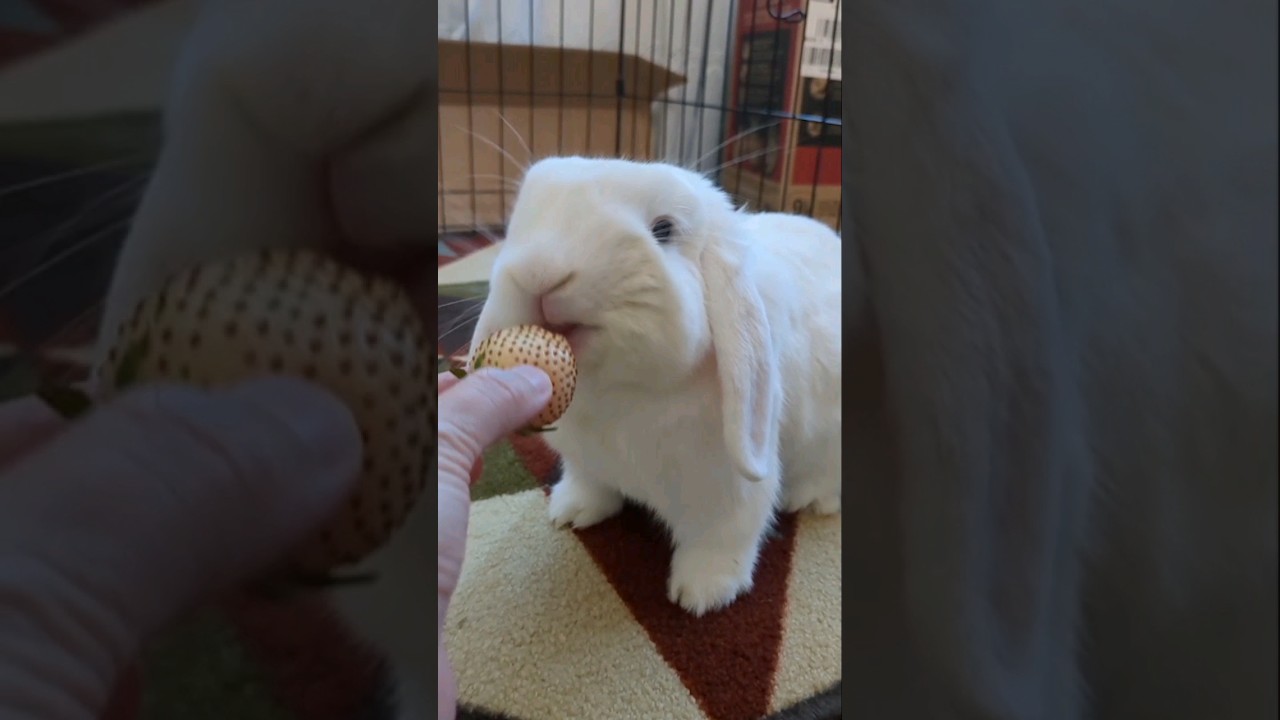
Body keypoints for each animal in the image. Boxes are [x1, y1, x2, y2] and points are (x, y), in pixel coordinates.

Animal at [468, 156, 843, 616]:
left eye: (664, 229)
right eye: (525, 214)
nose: (539, 272)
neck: (619, 391)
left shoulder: (725, 491)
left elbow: (722, 536)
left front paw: (703, 595)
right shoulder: (587, 463)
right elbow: (590, 484)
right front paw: (571, 510)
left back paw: (808, 498)